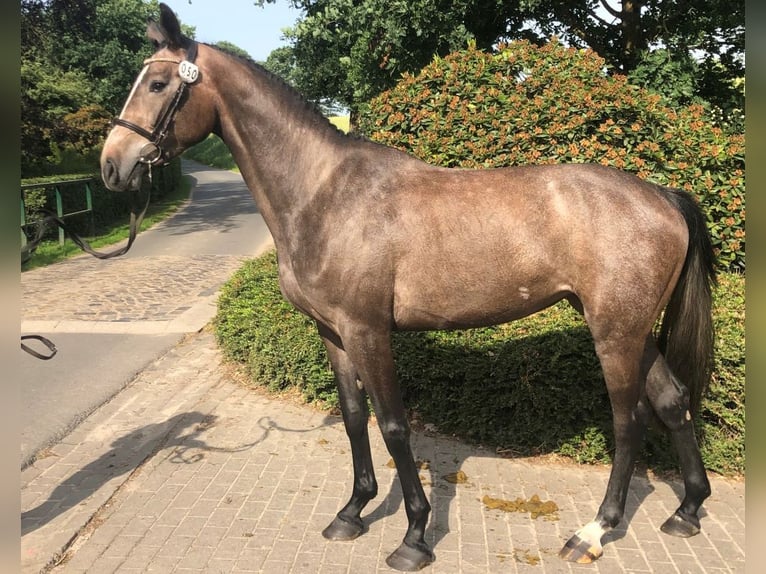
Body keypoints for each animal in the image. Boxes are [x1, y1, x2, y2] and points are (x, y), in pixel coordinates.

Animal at [101, 4, 716, 570]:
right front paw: (352, 512)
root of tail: (665, 197)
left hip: (614, 333)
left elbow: (394, 426)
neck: (325, 194)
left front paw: (414, 536)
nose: (111, 166)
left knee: (628, 420)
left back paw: (593, 531)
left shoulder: (368, 330)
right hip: (635, 330)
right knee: (672, 400)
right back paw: (687, 511)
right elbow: (354, 417)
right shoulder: (332, 332)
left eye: (158, 84)